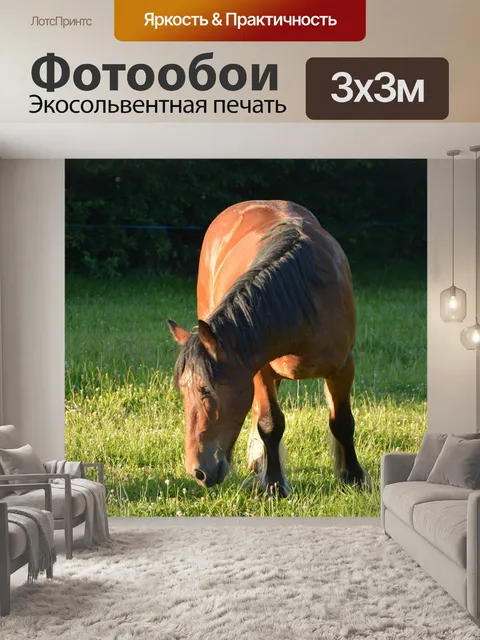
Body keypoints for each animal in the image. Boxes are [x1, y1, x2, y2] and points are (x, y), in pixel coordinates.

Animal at [168, 200, 370, 497]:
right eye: (183, 390)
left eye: (205, 389)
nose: (198, 471)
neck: (303, 299)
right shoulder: (257, 370)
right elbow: (270, 423)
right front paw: (274, 483)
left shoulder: (343, 367)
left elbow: (342, 422)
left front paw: (353, 477)